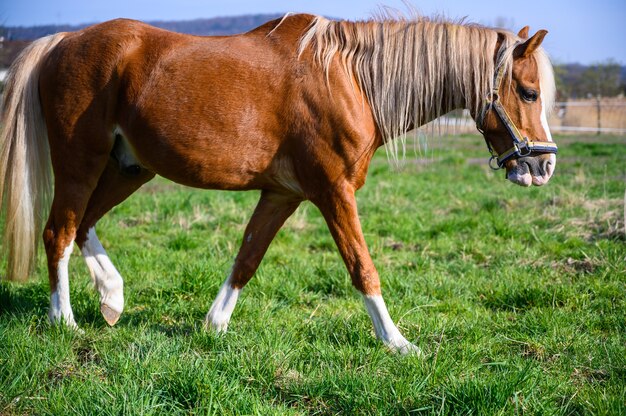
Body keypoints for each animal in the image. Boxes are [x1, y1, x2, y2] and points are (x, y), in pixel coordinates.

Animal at [0, 13, 556, 352]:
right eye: (528, 92)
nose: (544, 166)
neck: (351, 79)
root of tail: (62, 42)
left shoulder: (282, 194)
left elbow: (246, 259)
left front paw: (215, 325)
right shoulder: (333, 191)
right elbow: (362, 268)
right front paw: (397, 343)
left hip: (129, 168)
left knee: (83, 225)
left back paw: (112, 297)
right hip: (81, 162)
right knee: (58, 231)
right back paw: (64, 320)